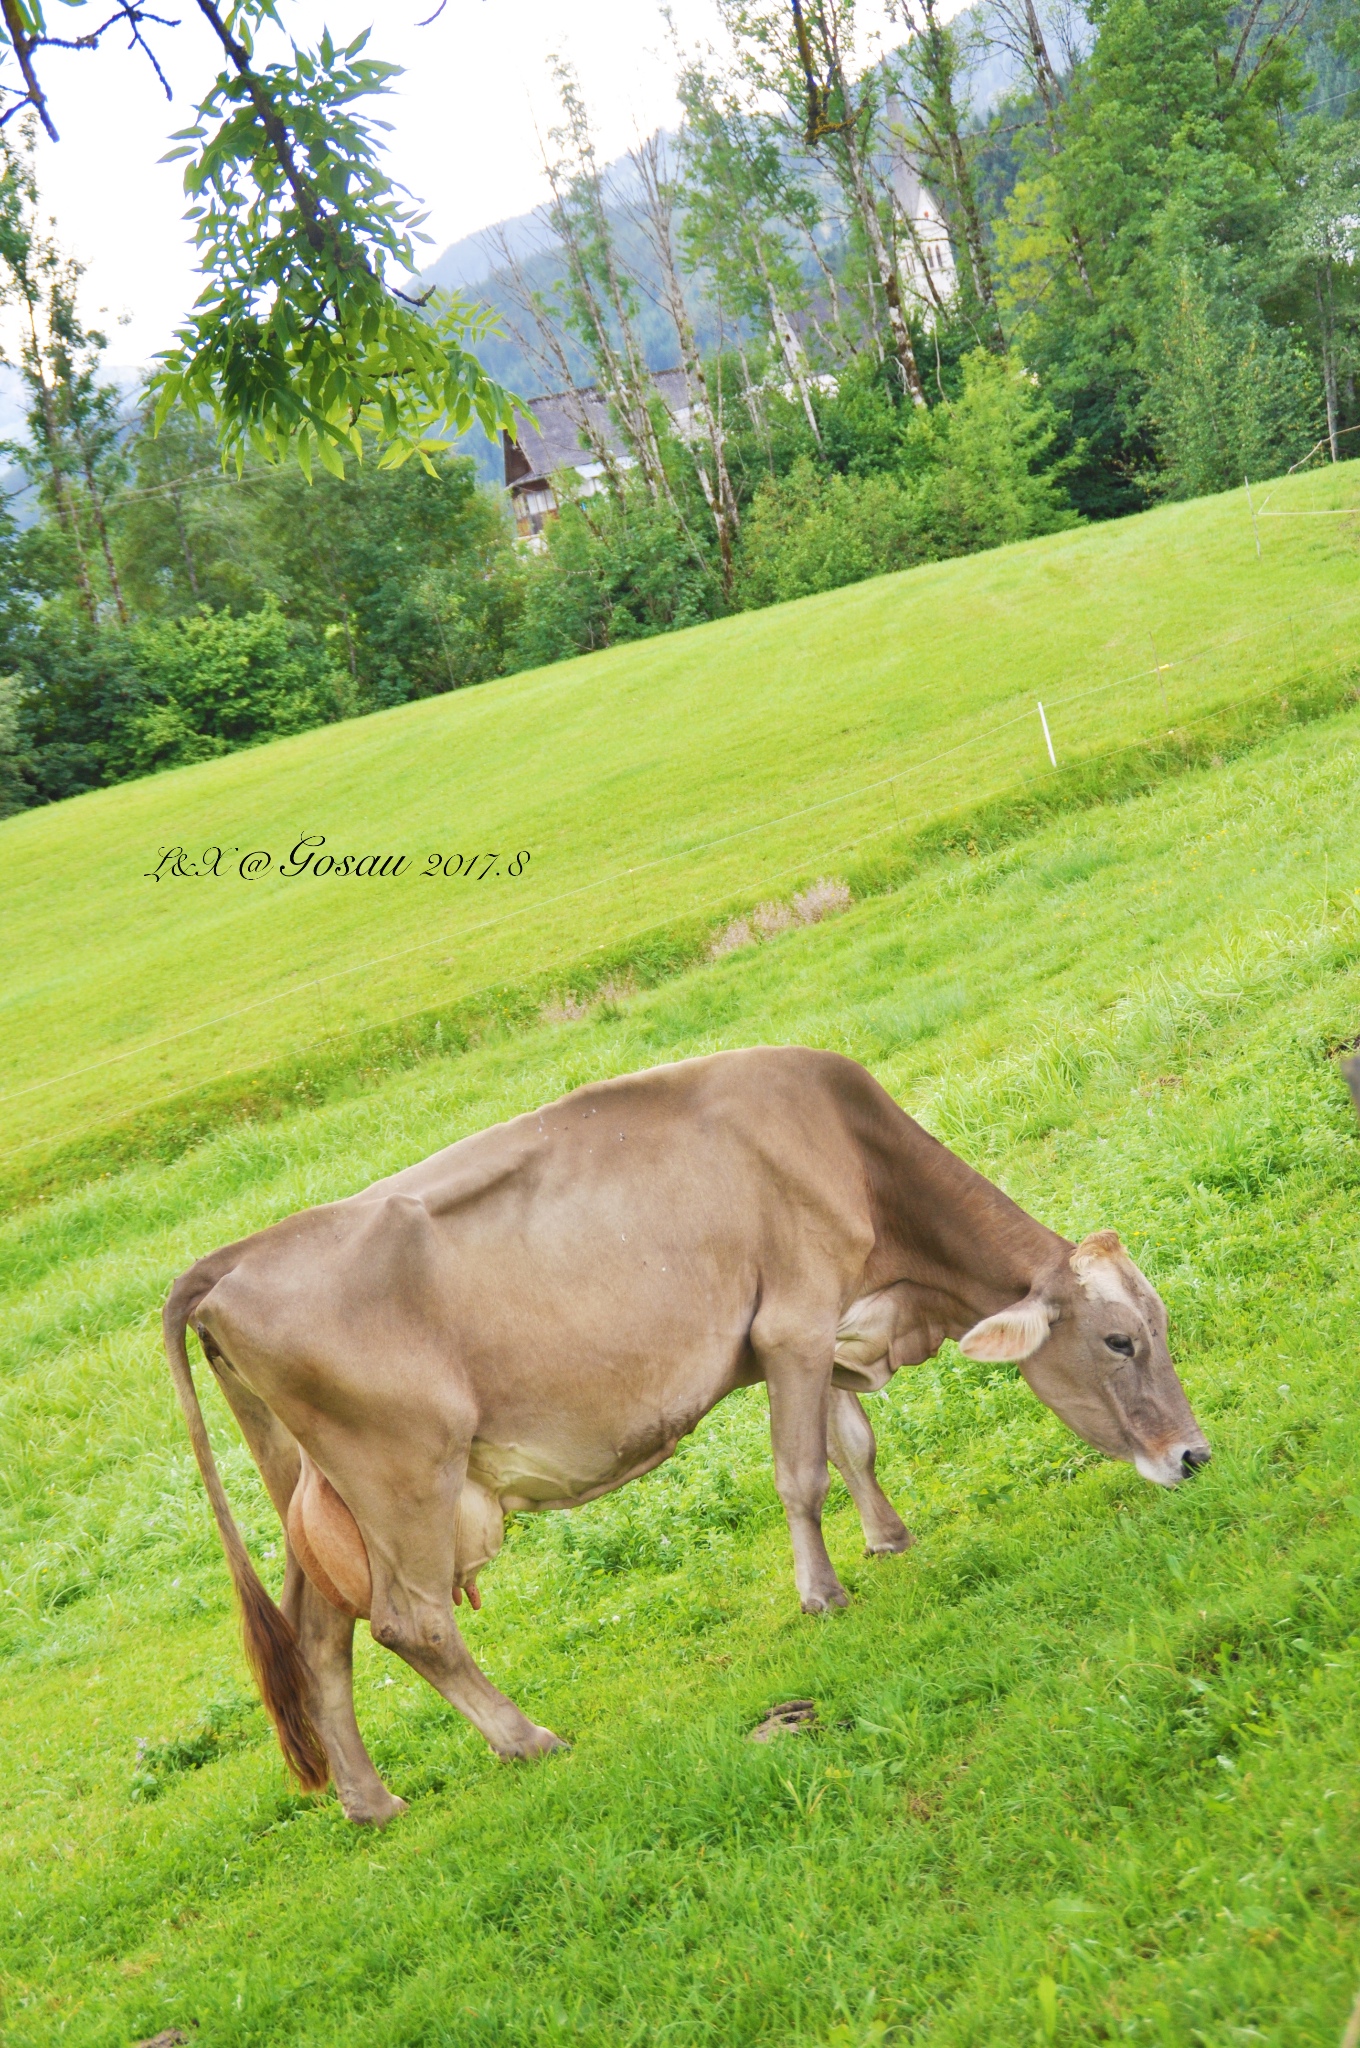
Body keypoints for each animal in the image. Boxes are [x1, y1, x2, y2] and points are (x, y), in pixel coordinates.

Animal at [164, 1048, 1204, 1818]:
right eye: (1120, 1339)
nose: (1192, 1455)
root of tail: (233, 1257)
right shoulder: (790, 1322)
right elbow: (801, 1471)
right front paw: (823, 1594)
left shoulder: (824, 1324)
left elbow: (853, 1439)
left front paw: (888, 1538)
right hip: (405, 1478)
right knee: (412, 1623)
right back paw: (526, 1739)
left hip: (316, 1494)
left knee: (319, 1641)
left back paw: (370, 1801)